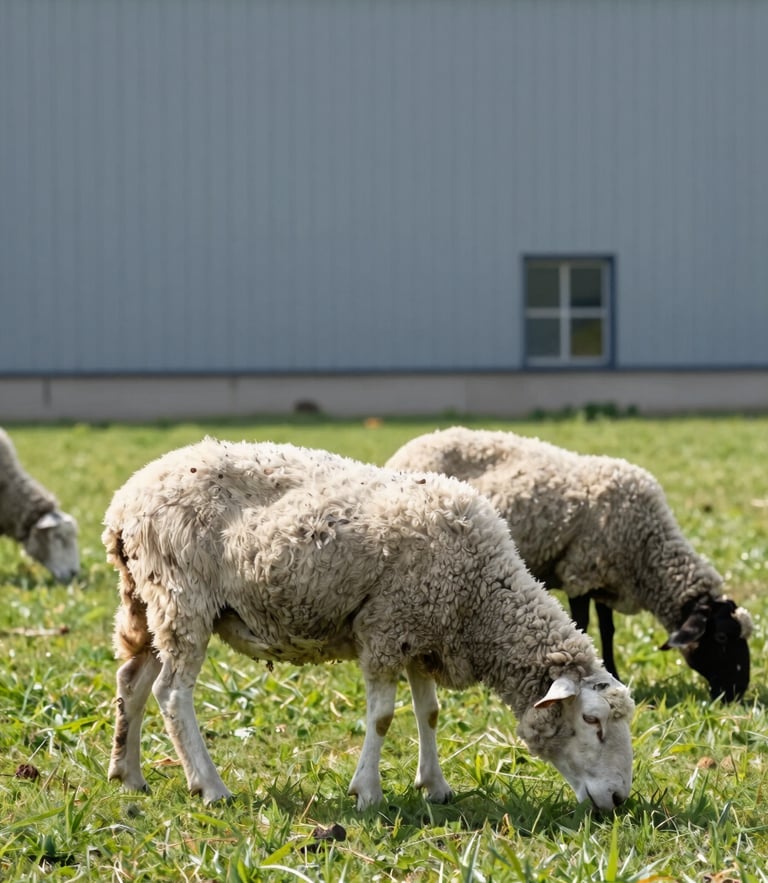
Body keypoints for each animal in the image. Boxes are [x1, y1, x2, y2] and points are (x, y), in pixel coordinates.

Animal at [103, 437, 634, 812]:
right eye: (592, 721)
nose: (618, 800)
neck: (479, 600)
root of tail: (125, 501)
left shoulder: (421, 632)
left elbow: (429, 712)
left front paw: (435, 786)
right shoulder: (385, 629)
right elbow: (381, 717)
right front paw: (368, 792)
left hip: (147, 600)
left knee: (132, 681)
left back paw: (128, 775)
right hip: (183, 598)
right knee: (172, 694)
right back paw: (211, 787)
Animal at [386, 426, 754, 702]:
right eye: (722, 638)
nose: (738, 692)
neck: (647, 549)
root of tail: (416, 442)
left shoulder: (606, 580)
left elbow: (608, 630)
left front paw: (615, 672)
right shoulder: (582, 571)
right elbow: (585, 624)